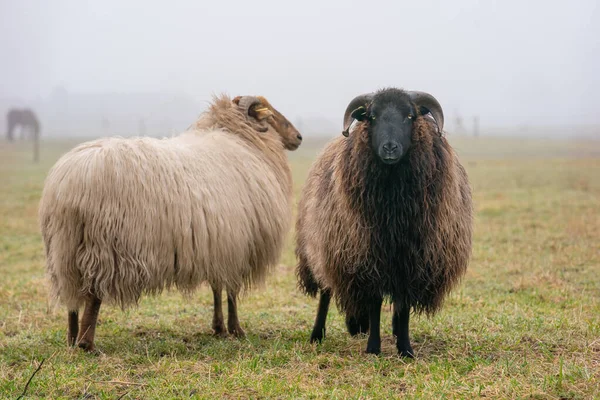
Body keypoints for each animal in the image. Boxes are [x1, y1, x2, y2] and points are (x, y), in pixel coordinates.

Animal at [296, 87, 474, 356]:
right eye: (372, 117)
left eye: (410, 116)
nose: (390, 148)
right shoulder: (367, 257)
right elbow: (375, 303)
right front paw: (373, 348)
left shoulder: (411, 261)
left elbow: (403, 306)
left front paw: (405, 349)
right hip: (325, 247)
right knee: (326, 292)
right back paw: (318, 334)